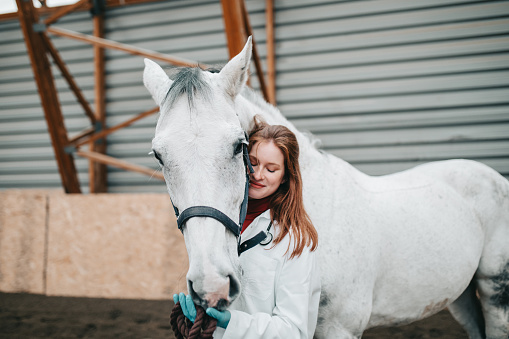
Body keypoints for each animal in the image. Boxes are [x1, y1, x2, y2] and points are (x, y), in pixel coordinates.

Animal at [144, 38, 508, 338]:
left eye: (238, 146)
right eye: (159, 156)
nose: (212, 285)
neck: (315, 219)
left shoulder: (340, 328)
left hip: (496, 294)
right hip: (461, 294)